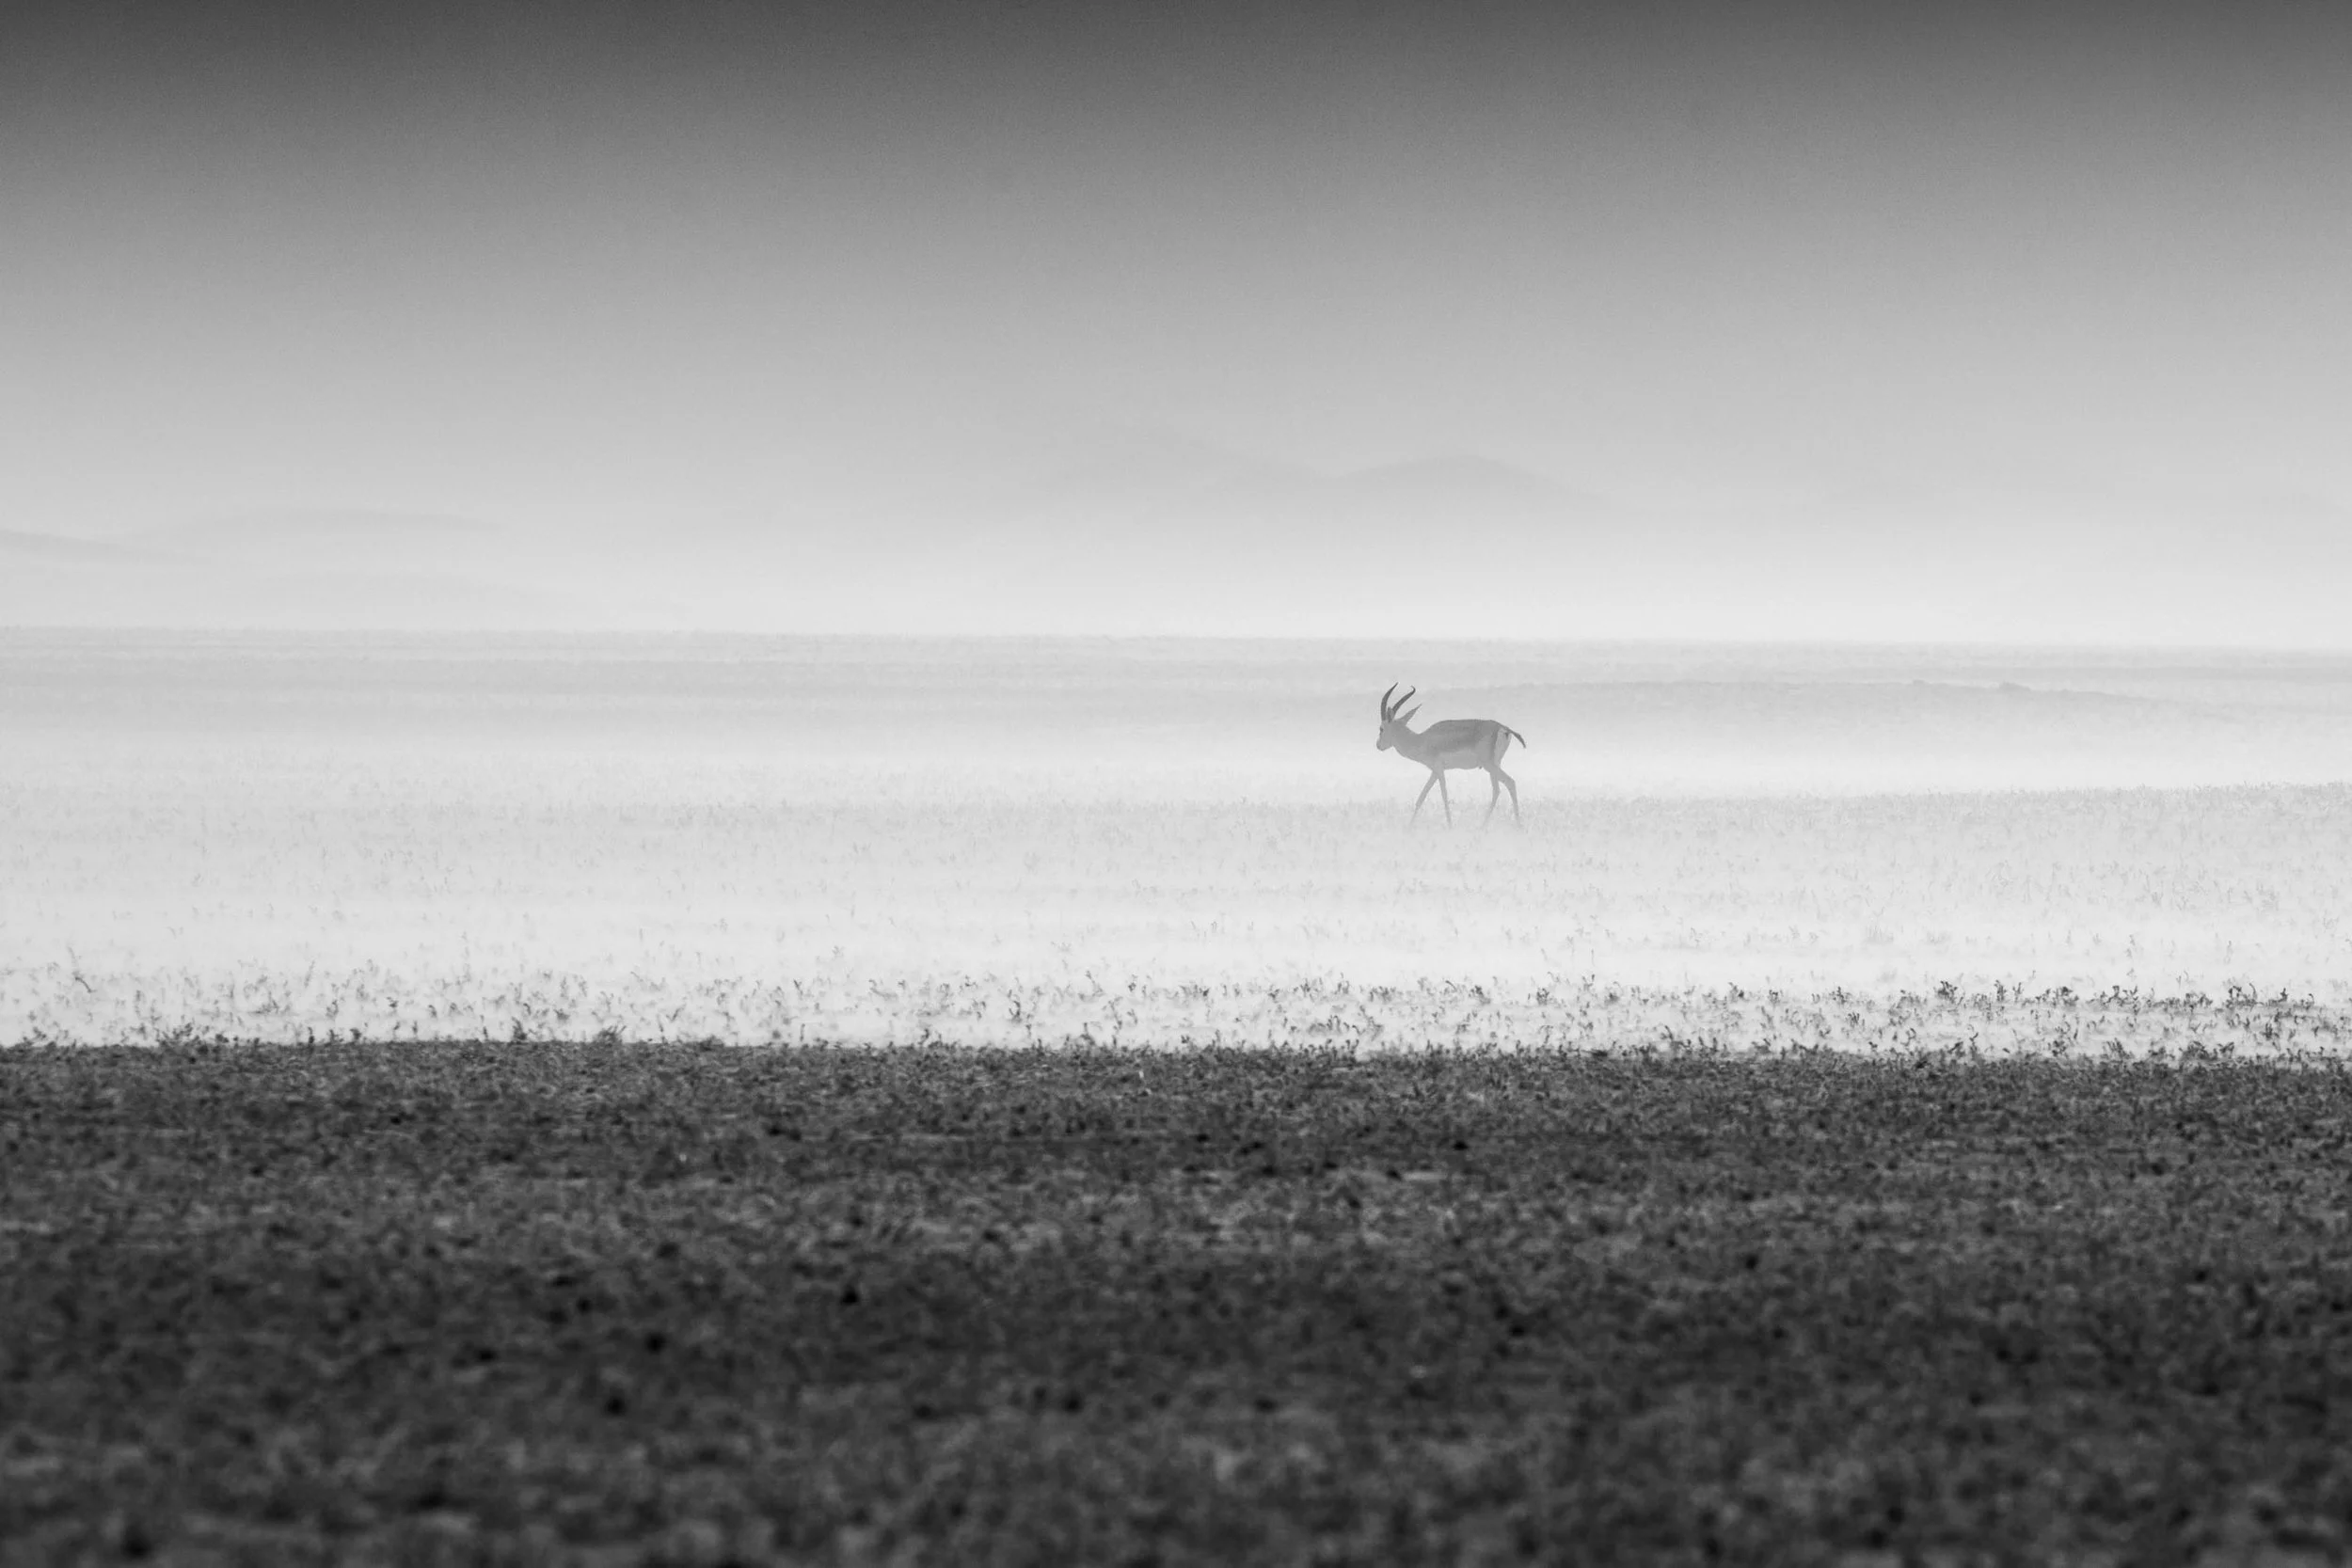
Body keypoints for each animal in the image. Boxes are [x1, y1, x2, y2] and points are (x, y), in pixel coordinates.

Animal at [1376, 684, 1526, 826]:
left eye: (1381, 728)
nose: (1378, 745)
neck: (1421, 740)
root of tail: (1502, 727)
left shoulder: (1438, 769)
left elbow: (1444, 795)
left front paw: (1450, 826)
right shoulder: (1434, 771)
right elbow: (1422, 797)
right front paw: (1409, 827)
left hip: (1489, 765)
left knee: (1510, 782)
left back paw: (1518, 825)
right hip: (1494, 765)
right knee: (1497, 790)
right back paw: (1483, 826)